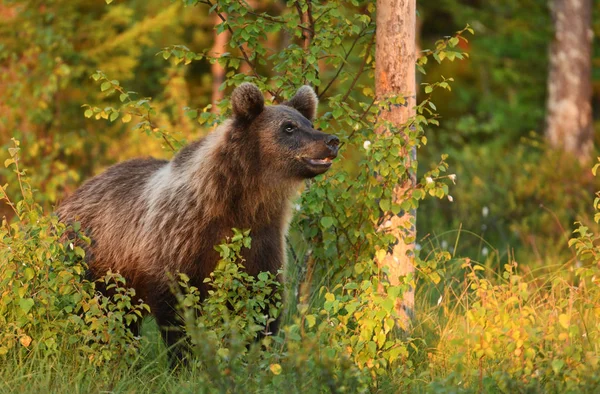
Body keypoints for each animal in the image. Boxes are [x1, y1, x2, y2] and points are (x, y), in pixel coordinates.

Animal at [57, 83, 338, 360]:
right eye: (289, 127)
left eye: (310, 123)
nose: (331, 140)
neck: (239, 204)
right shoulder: (179, 240)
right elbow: (177, 311)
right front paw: (184, 358)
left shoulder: (263, 240)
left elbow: (264, 302)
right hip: (92, 260)